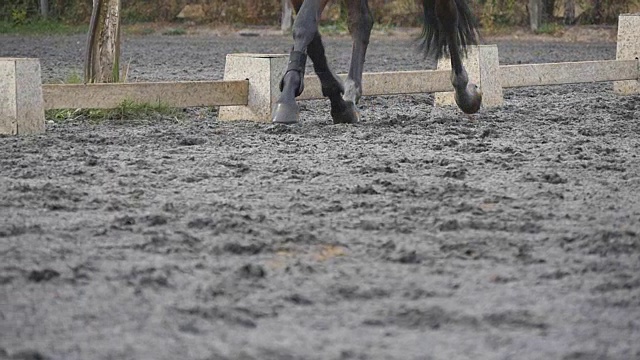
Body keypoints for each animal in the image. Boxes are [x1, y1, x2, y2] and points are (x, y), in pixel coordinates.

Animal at [272, 0, 482, 125]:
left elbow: (304, 25)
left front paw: (287, 100)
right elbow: (313, 39)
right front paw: (341, 105)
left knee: (447, 16)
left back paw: (465, 95)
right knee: (361, 21)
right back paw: (351, 92)